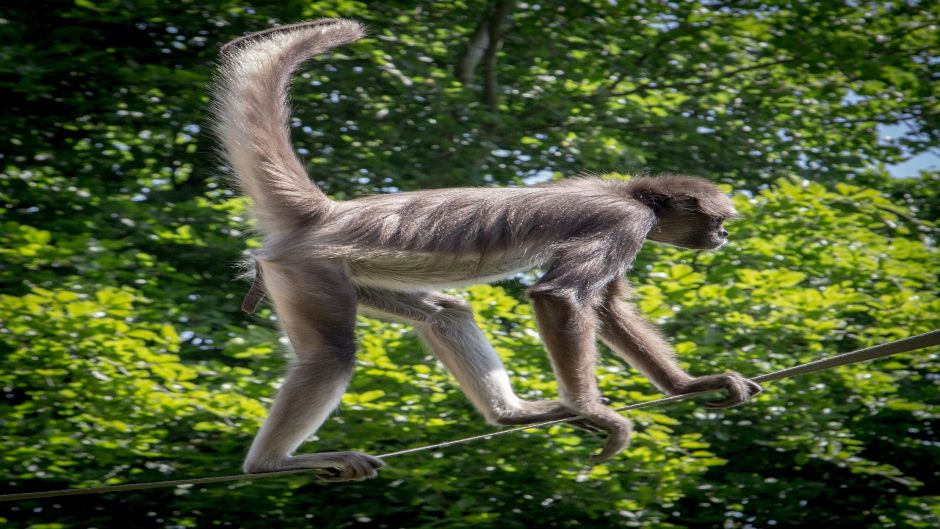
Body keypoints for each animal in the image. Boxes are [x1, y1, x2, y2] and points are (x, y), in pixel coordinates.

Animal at [209, 18, 760, 480]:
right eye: (717, 221)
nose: (722, 237)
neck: (630, 193)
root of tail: (327, 214)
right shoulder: (625, 221)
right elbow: (560, 297)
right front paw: (593, 409)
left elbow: (606, 306)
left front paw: (689, 386)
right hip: (309, 269)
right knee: (332, 353)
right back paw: (269, 463)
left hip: (346, 275)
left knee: (446, 312)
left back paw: (510, 413)